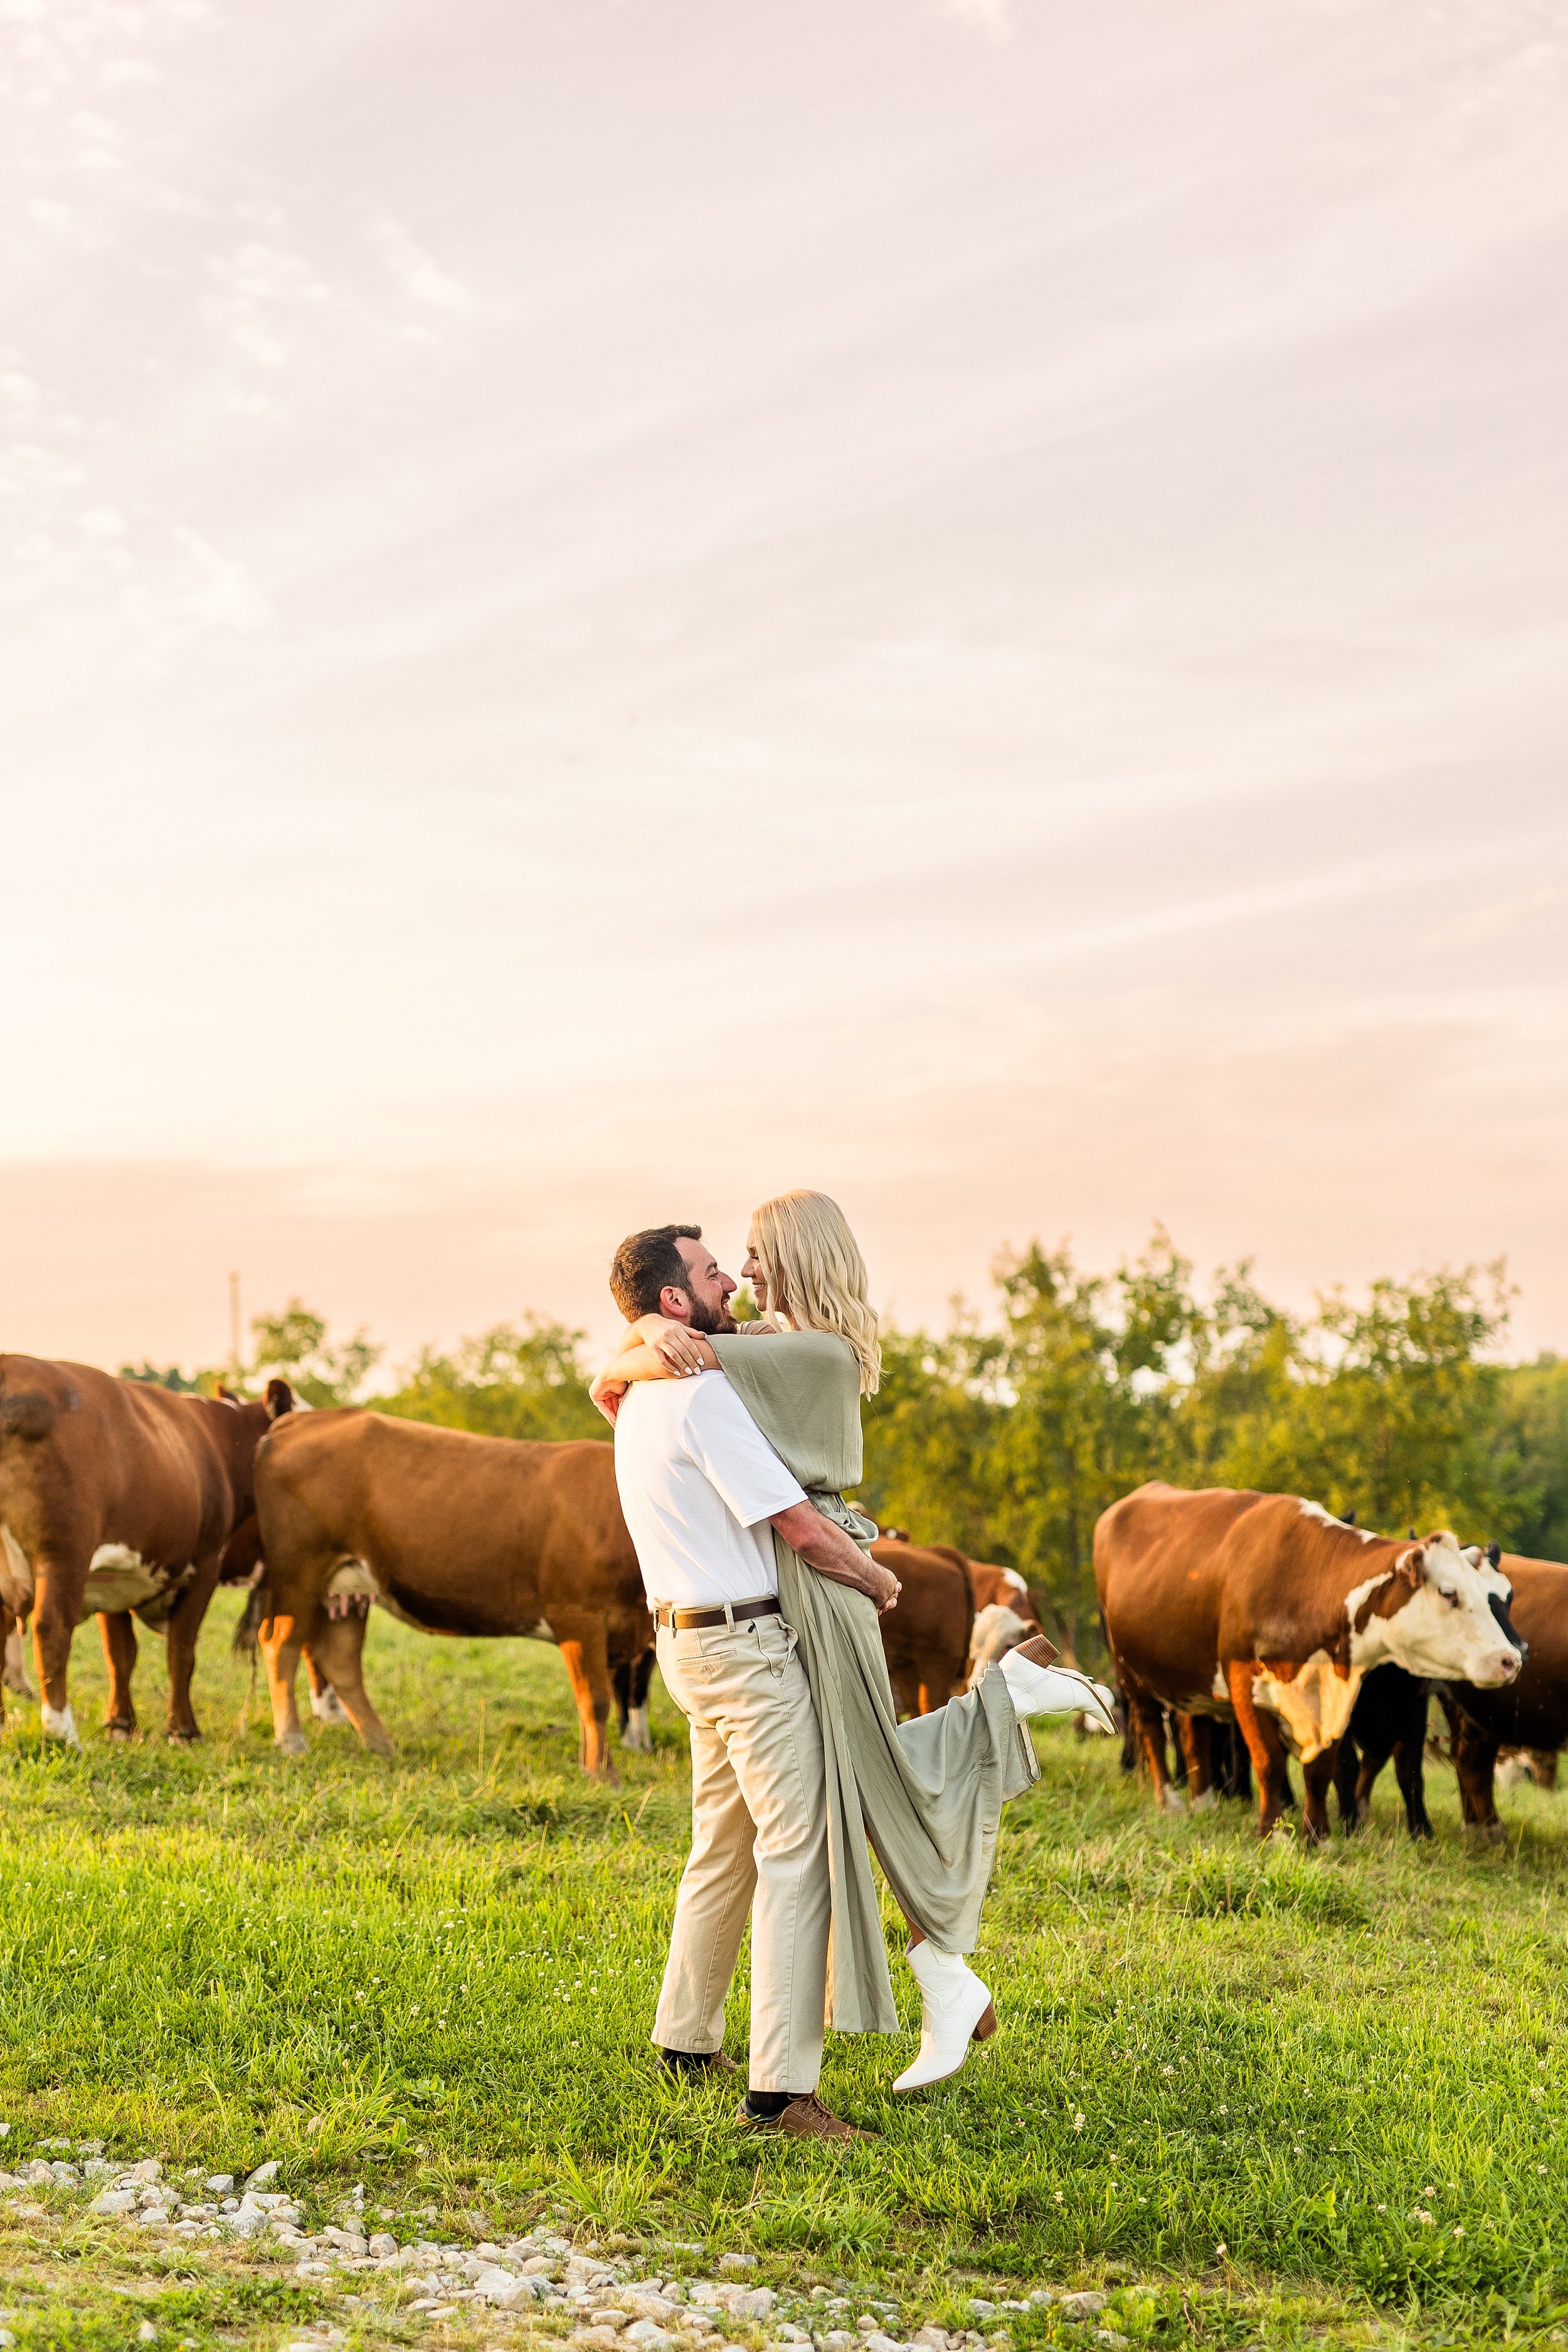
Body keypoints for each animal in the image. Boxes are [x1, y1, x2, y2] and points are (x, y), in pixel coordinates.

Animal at [0, 1364, 292, 1750]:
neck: (220, 1442)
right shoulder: (205, 1566)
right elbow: (181, 1652)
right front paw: (184, 1730)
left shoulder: (113, 1575)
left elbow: (121, 1655)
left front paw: (120, 1725)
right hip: (63, 1556)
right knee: (51, 1628)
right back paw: (63, 1734)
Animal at [250, 1402, 649, 1769]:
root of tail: (304, 1420)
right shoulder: (578, 1615)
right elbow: (595, 1701)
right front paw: (601, 1774)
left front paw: (591, 1764)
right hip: (298, 1573)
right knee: (280, 1645)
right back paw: (292, 1740)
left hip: (349, 1585)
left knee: (339, 1658)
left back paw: (381, 1745)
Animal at [1100, 1486, 1523, 1835]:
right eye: (1449, 1593)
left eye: (1501, 1595)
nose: (1510, 1660)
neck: (1304, 1582)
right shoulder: (1244, 1684)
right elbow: (1270, 1762)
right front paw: (1272, 1833)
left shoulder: (1339, 1697)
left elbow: (1323, 1768)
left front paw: (1318, 1836)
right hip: (1131, 1673)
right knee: (1152, 1731)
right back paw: (1169, 1802)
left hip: (1190, 1679)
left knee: (1193, 1733)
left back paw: (1202, 1803)